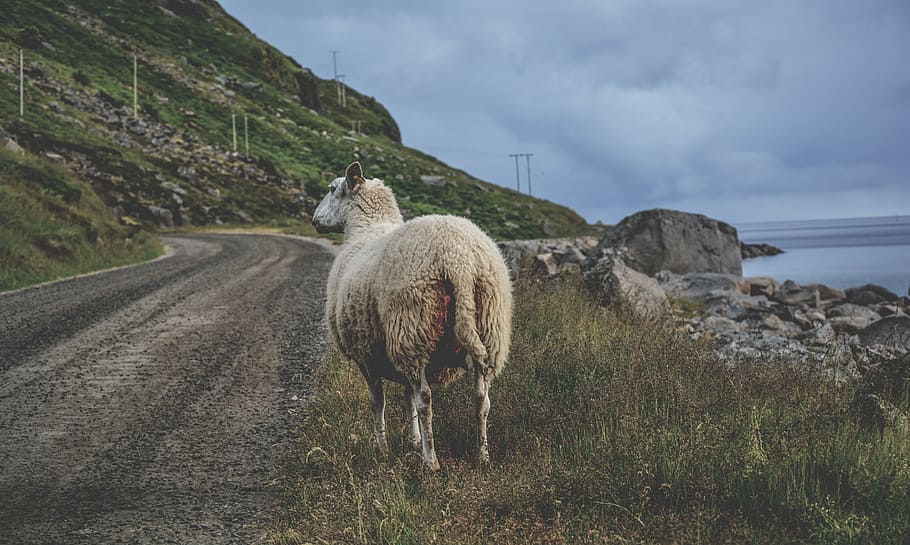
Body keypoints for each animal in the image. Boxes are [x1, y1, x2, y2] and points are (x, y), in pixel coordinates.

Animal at [312, 162, 512, 470]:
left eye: (333, 189)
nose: (314, 220)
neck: (366, 228)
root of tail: (458, 260)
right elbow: (406, 397)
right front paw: (412, 440)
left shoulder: (366, 354)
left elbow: (378, 401)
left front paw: (381, 447)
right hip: (488, 328)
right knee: (482, 399)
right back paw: (483, 455)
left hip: (412, 327)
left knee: (425, 400)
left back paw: (431, 462)